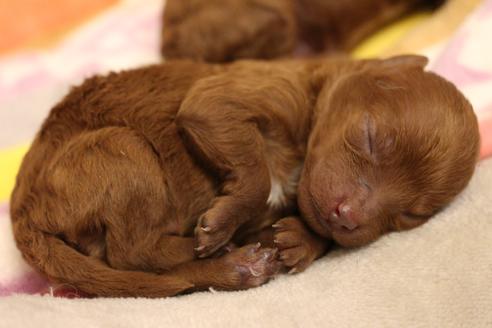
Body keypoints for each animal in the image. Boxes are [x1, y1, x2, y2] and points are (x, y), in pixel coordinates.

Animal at [11, 55, 478, 298]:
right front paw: (222, 222)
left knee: (156, 271)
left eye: (410, 216)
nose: (348, 216)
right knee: (133, 253)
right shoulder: (226, 99)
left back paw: (238, 266)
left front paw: (298, 240)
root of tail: (23, 211)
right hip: (124, 151)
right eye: (369, 137)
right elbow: (254, 175)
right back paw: (226, 251)